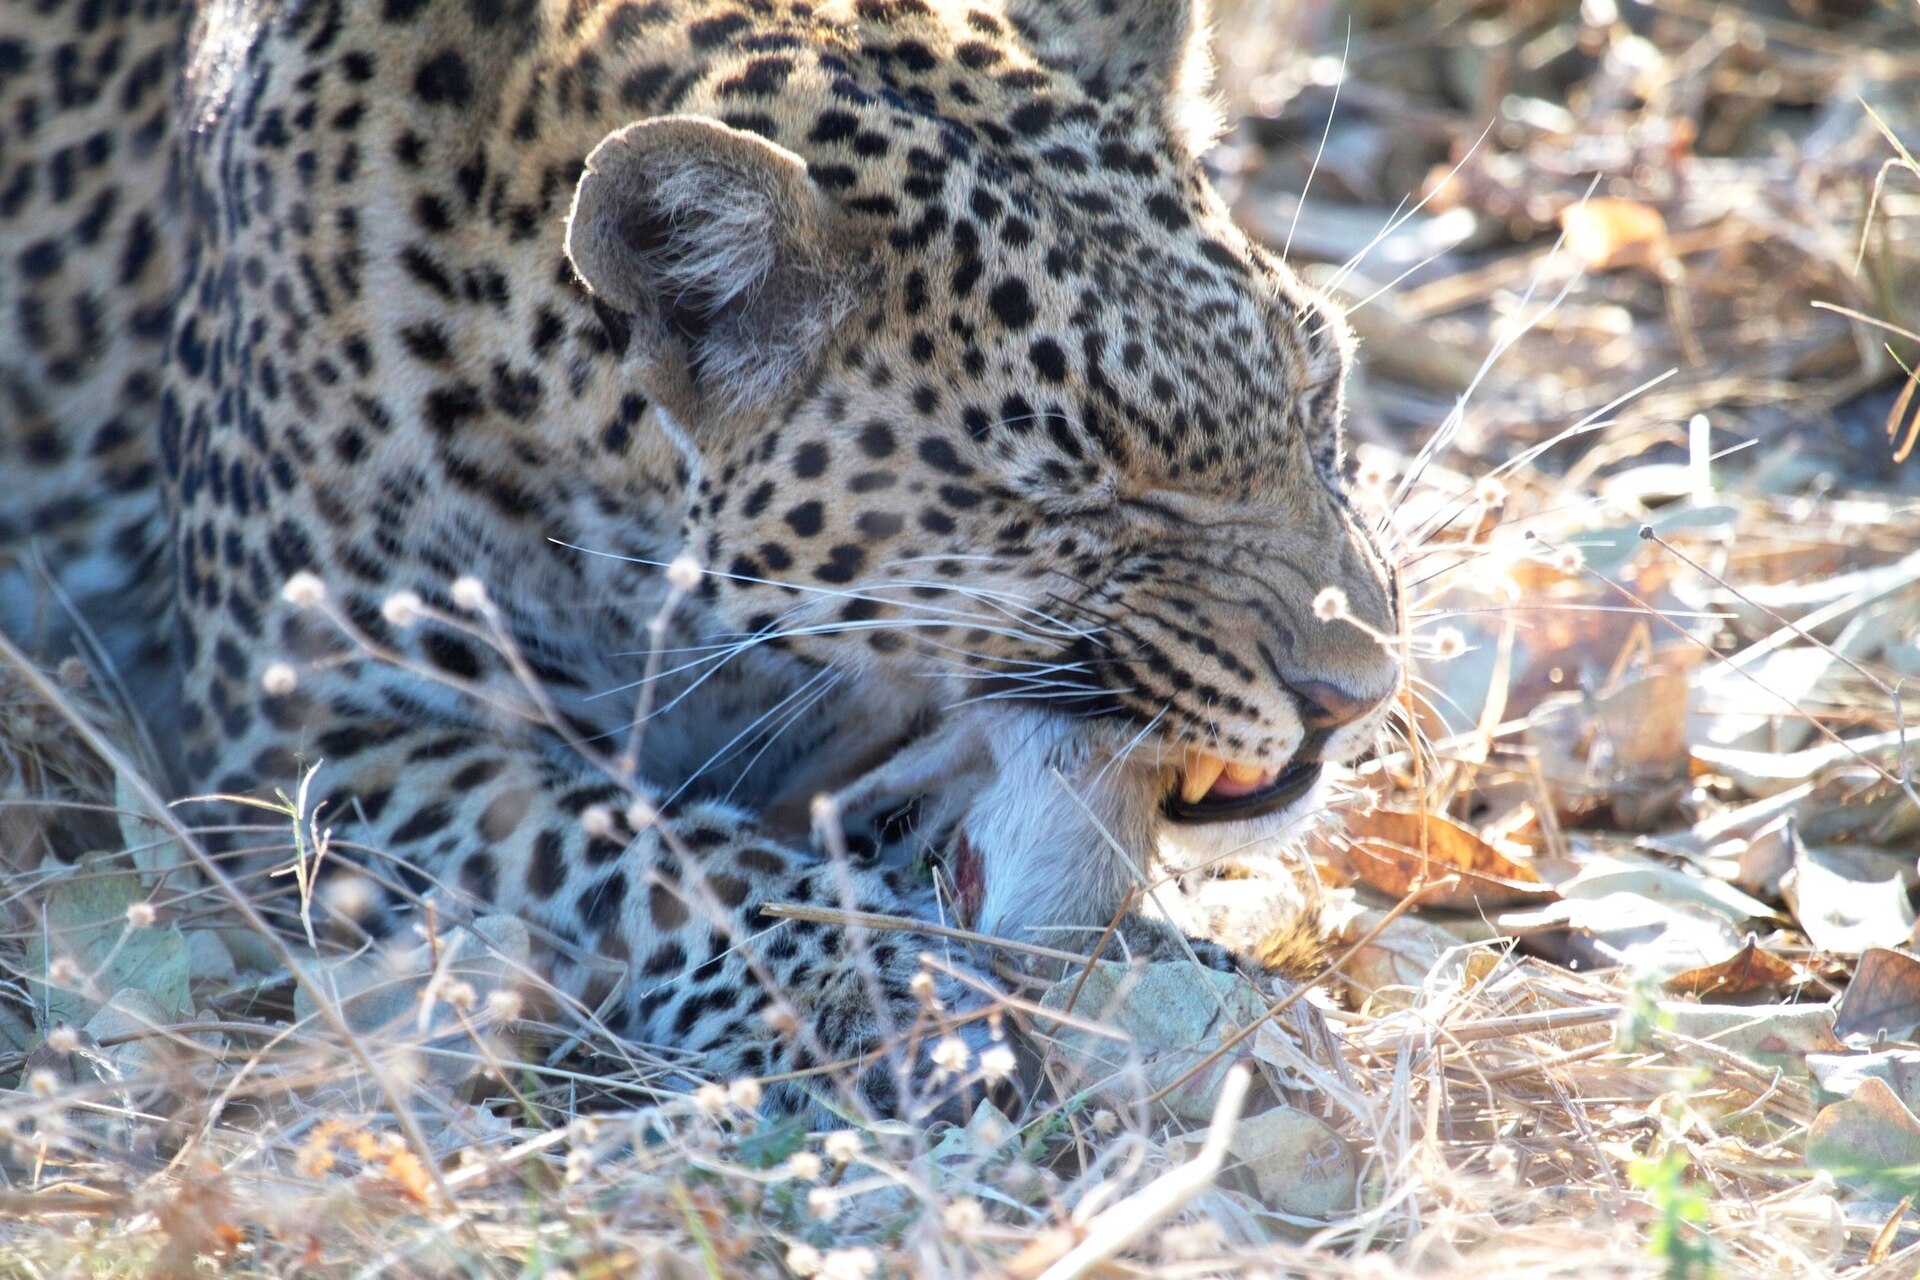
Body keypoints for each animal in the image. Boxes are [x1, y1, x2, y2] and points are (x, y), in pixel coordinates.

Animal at [0, 0, 1401, 1116]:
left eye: (1316, 395)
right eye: (1081, 488)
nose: (1359, 693)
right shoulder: (307, 739)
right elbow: (640, 851)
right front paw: (876, 990)